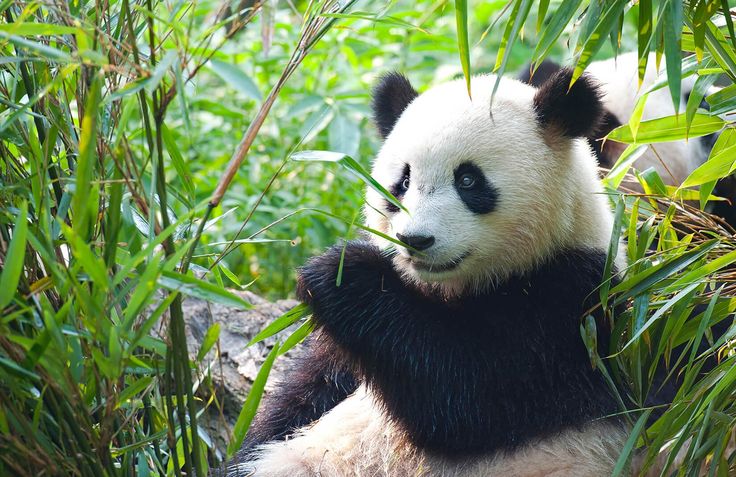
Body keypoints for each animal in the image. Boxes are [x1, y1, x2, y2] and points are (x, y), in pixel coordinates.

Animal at [219, 65, 631, 477]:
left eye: (468, 180)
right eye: (402, 182)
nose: (414, 239)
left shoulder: (572, 306)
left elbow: (469, 393)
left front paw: (343, 272)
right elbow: (306, 395)